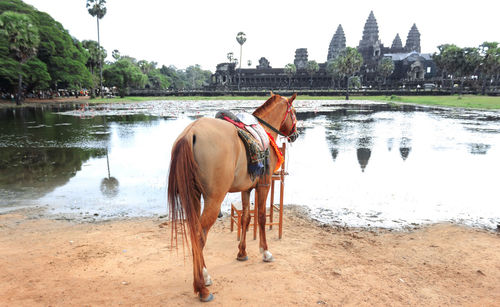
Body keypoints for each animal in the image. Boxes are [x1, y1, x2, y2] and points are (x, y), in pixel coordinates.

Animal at [170, 92, 298, 302]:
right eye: (294, 112)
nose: (296, 133)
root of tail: (191, 133)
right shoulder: (264, 185)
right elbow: (261, 217)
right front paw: (265, 251)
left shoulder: (246, 188)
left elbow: (246, 218)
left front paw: (242, 252)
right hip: (214, 199)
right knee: (199, 235)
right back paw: (202, 287)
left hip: (193, 196)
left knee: (195, 232)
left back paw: (204, 276)